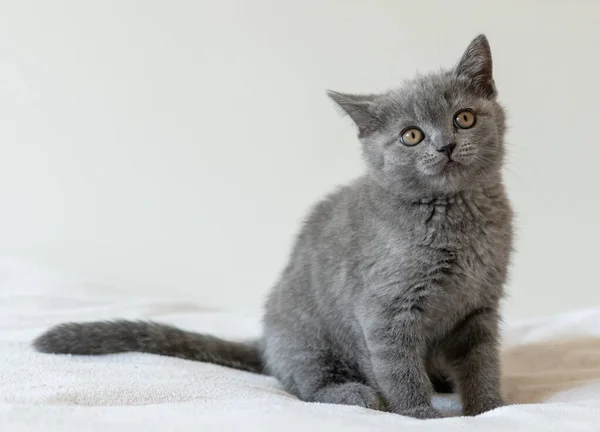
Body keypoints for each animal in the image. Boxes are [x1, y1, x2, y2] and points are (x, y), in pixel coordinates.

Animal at [34, 35, 510, 420]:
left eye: (464, 118)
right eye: (411, 136)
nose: (445, 146)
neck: (457, 217)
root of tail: (264, 342)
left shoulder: (479, 307)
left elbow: (482, 363)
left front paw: (490, 408)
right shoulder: (386, 311)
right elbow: (399, 369)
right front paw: (420, 415)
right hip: (307, 332)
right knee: (306, 383)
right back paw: (354, 393)